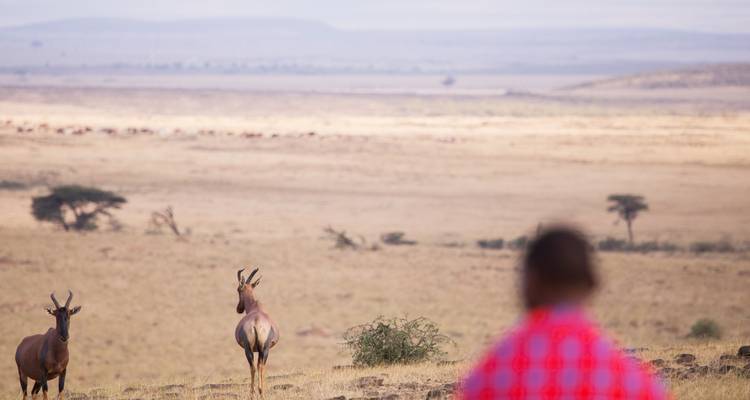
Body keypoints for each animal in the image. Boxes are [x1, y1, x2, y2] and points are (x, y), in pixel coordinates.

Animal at [235, 268, 279, 397]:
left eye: (238, 289)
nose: (239, 309)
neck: (256, 308)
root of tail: (256, 322)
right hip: (263, 349)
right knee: (259, 366)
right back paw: (260, 391)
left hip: (251, 349)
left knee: (255, 367)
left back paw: (255, 392)